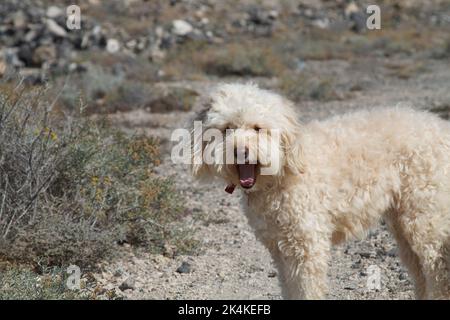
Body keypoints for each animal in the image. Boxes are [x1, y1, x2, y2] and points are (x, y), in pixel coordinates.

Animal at [190, 83, 450, 300]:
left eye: (258, 128)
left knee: (439, 271)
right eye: (227, 129)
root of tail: (440, 126)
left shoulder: (306, 245)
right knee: (421, 273)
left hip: (425, 218)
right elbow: (290, 289)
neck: (280, 176)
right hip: (405, 223)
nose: (240, 151)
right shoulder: (279, 248)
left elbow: (306, 290)